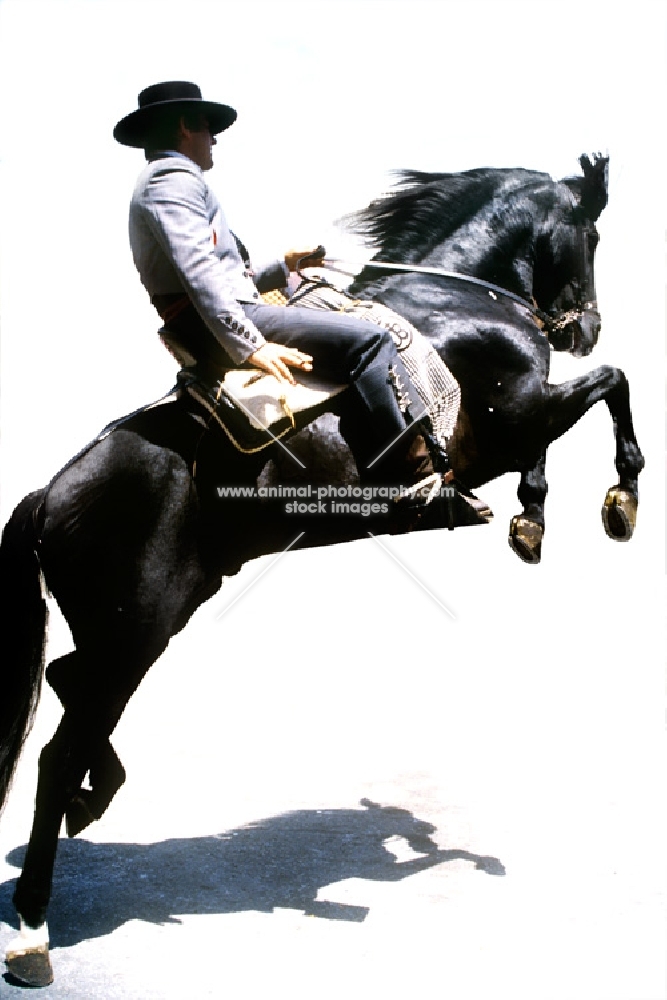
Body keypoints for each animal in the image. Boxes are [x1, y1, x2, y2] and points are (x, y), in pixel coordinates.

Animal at [0, 150, 640, 984]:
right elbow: (612, 385)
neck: (457, 299)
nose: (583, 327)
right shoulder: (515, 415)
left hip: (145, 623)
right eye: (590, 232)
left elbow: (561, 432)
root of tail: (51, 491)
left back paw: (95, 797)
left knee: (68, 685)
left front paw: (530, 515)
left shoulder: (520, 422)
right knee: (57, 752)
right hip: (133, 633)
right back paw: (33, 931)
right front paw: (621, 494)